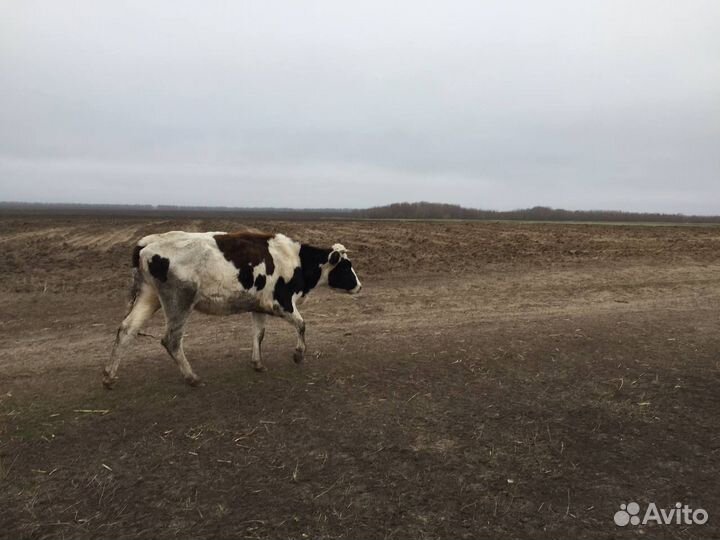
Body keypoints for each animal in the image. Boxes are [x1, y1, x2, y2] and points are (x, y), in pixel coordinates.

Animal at [102, 230, 360, 386]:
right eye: (346, 267)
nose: (359, 285)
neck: (296, 260)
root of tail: (147, 243)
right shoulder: (282, 303)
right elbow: (302, 325)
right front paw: (298, 354)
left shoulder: (259, 306)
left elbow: (259, 334)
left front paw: (257, 363)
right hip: (179, 302)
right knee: (171, 340)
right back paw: (192, 377)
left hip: (149, 297)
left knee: (126, 329)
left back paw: (109, 376)